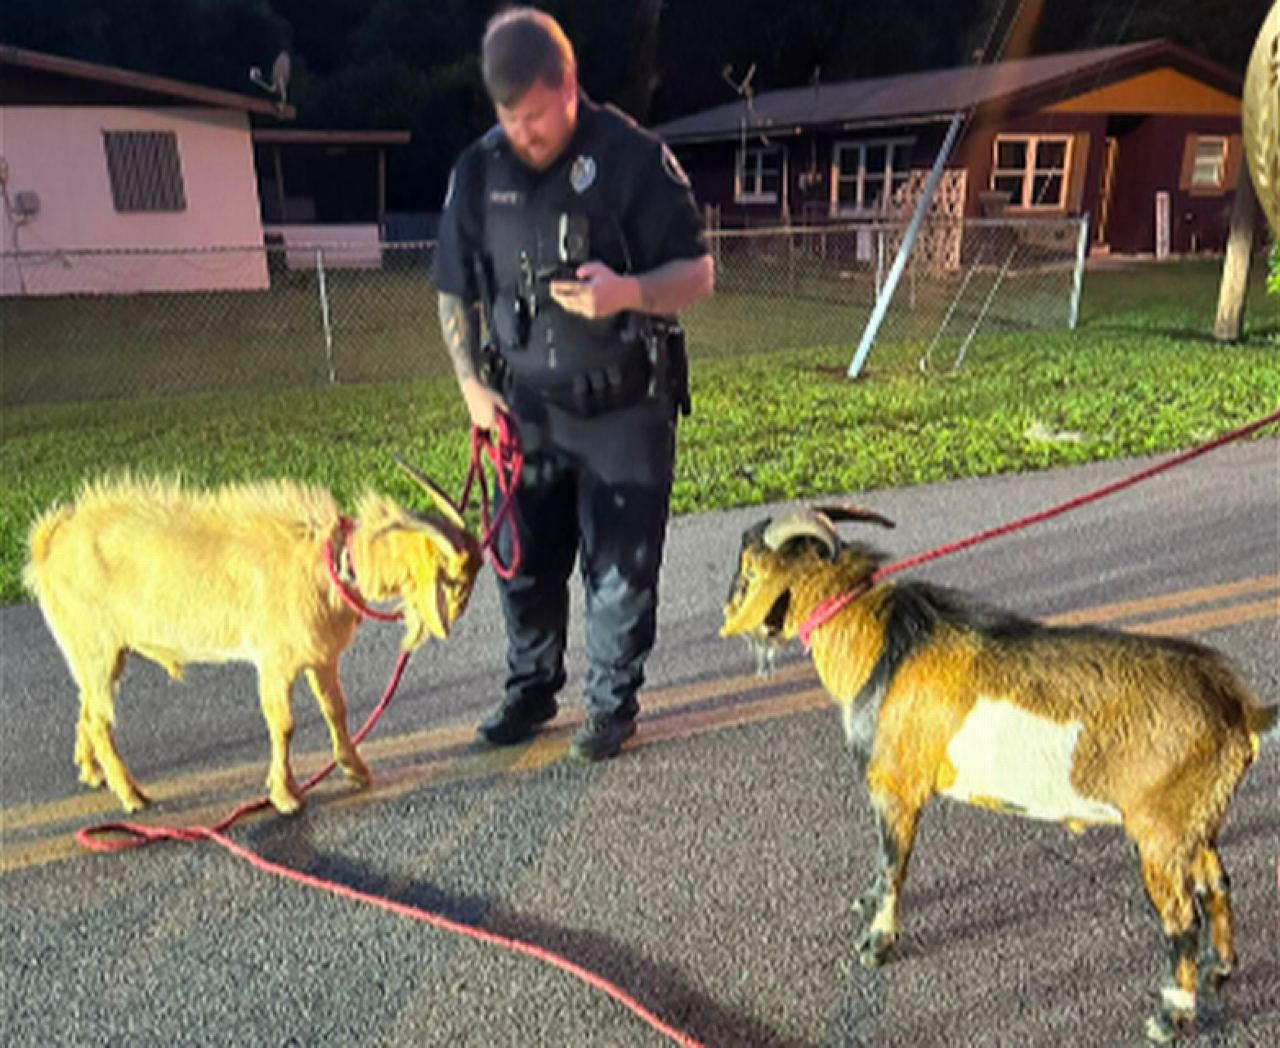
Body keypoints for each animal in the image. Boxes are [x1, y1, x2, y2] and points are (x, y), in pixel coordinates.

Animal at [24, 465, 483, 818]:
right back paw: (132, 795)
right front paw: (285, 795)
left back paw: (91, 770)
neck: (328, 562)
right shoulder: (275, 660)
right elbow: (284, 724)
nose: (460, 614)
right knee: (100, 720)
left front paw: (355, 770)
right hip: (96, 647)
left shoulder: (320, 658)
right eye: (454, 577)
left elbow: (335, 710)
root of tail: (46, 544)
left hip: (101, 651)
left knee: (87, 707)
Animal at [727, 506, 1274, 1039]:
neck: (883, 645)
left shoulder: (895, 787)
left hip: (1160, 832)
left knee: (1181, 918)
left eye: (748, 571)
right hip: (1196, 824)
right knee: (1216, 884)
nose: (730, 613)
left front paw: (876, 943)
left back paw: (1169, 1017)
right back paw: (1219, 969)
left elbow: (893, 863)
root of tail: (1238, 709)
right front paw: (865, 901)